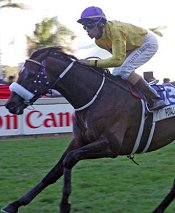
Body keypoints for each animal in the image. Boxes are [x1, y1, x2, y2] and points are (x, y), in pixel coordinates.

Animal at [2, 47, 174, 213]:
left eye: (31, 74)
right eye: (19, 73)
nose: (10, 104)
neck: (97, 97)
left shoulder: (111, 146)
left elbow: (69, 159)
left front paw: (64, 205)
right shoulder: (79, 141)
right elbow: (53, 173)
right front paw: (14, 204)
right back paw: (159, 209)